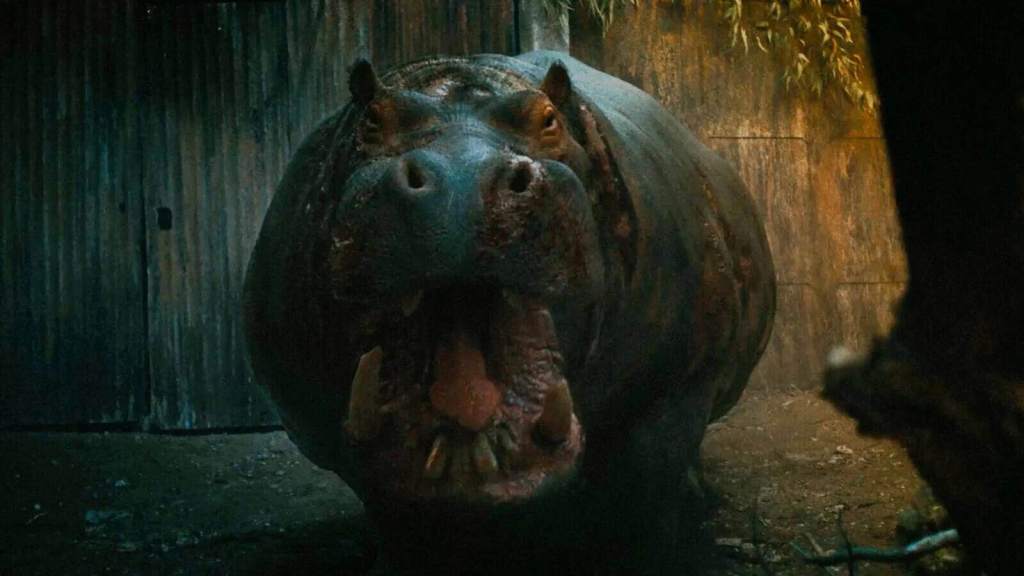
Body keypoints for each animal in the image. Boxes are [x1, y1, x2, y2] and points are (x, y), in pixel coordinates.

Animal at [243, 51, 775, 575]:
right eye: (371, 120)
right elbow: (398, 518)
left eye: (548, 119)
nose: (460, 177)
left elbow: (641, 514)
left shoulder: (671, 394)